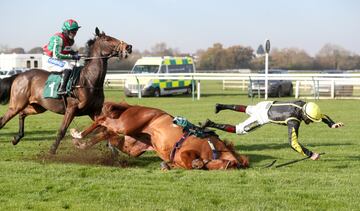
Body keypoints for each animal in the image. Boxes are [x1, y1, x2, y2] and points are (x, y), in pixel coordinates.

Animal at [0, 27, 132, 153]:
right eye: (107, 39)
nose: (128, 47)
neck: (89, 80)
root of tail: (19, 75)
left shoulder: (93, 111)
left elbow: (105, 129)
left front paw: (113, 151)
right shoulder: (71, 109)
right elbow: (62, 130)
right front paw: (52, 150)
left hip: (38, 107)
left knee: (22, 114)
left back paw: (16, 138)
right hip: (17, 104)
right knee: (3, 120)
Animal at [71, 101, 249, 171]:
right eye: (230, 166)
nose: (203, 164)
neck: (214, 149)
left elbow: (177, 164)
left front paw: (167, 165)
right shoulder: (186, 150)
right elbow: (188, 159)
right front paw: (197, 163)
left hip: (132, 146)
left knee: (106, 133)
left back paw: (81, 143)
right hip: (126, 125)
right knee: (102, 120)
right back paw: (77, 134)